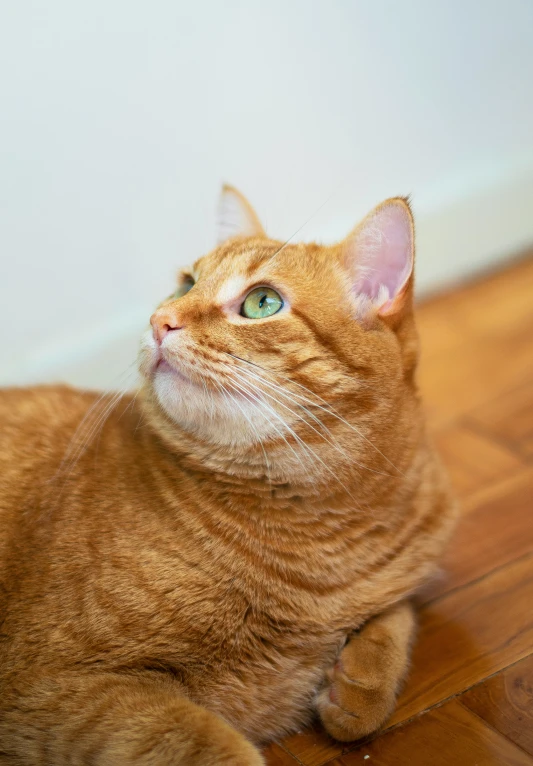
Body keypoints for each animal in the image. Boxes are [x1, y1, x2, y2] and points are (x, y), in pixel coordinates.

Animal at [1, 188, 454, 766]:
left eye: (262, 303)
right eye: (186, 284)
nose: (160, 319)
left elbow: (396, 621)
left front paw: (357, 681)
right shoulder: (51, 684)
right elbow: (204, 741)